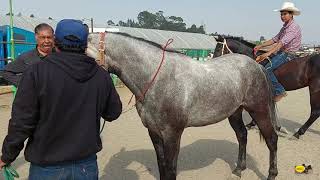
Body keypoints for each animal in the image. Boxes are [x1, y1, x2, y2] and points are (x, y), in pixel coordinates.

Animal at [87, 32, 278, 180]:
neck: (158, 79)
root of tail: (258, 66)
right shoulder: (154, 133)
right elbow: (162, 166)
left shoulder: (172, 135)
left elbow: (171, 169)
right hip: (235, 112)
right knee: (242, 135)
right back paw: (239, 169)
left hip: (259, 110)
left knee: (271, 139)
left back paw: (271, 174)